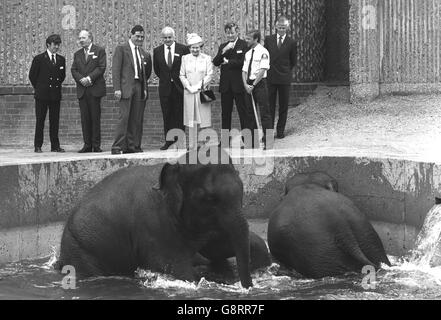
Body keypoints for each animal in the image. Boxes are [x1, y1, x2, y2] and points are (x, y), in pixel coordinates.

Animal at [55, 149, 268, 288]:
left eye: (242, 190)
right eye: (210, 199)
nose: (246, 287)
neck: (177, 163)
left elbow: (217, 248)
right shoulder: (154, 225)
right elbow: (177, 269)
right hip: (81, 251)